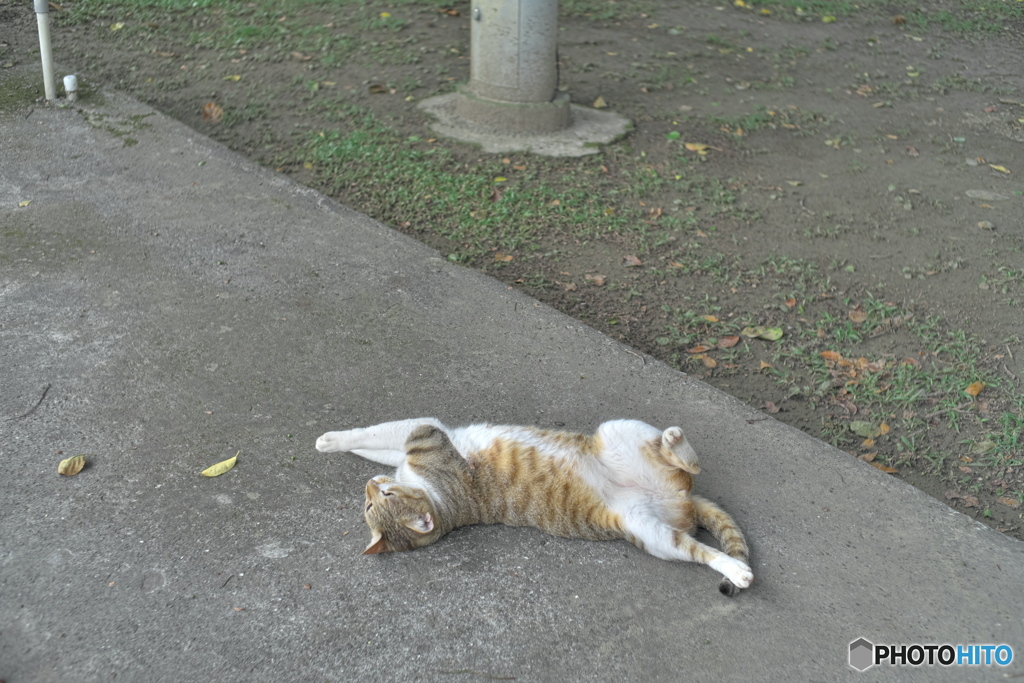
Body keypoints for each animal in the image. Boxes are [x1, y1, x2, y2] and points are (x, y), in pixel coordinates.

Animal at [315, 417, 757, 593]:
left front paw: (331, 440)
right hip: (653, 536)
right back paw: (735, 570)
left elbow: (376, 438)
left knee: (687, 463)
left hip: (618, 430)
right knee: (698, 545)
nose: (370, 486)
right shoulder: (423, 442)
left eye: (380, 500)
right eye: (370, 505)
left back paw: (672, 440)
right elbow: (380, 442)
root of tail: (676, 498)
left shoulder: (422, 436)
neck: (440, 503)